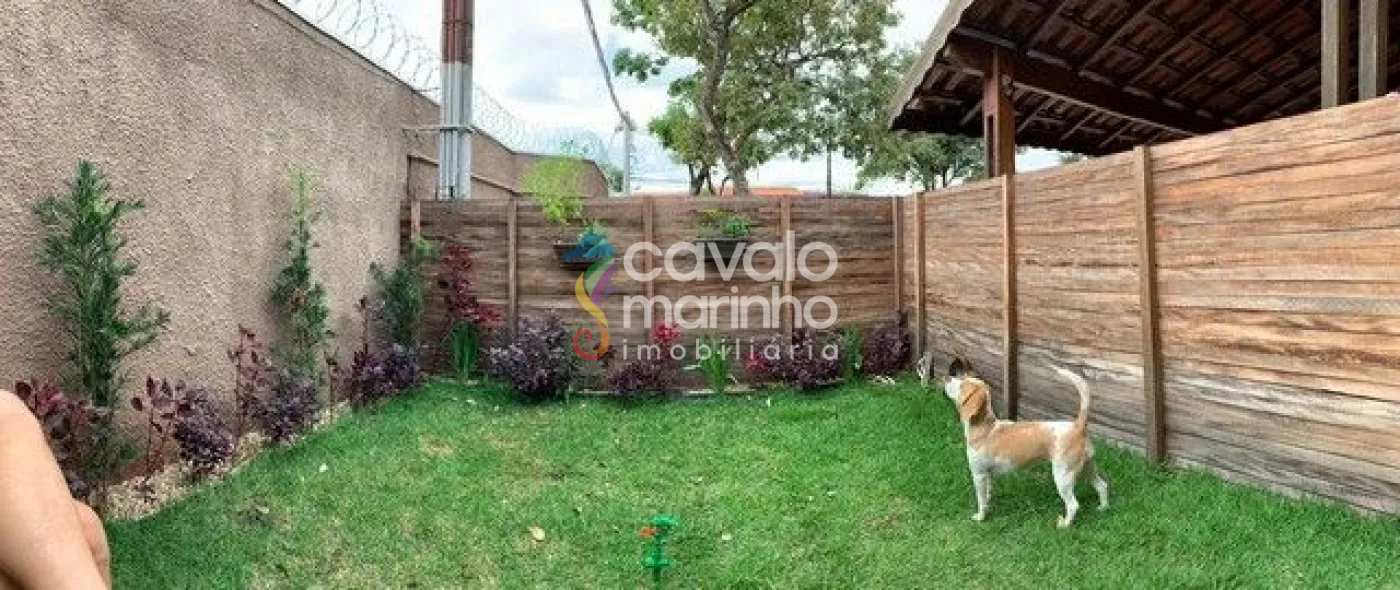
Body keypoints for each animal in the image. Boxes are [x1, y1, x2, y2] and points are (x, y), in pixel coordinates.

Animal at [919, 353, 1109, 528]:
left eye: (962, 386)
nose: (947, 377)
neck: (986, 428)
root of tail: (1078, 426)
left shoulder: (978, 474)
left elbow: (981, 500)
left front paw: (981, 517)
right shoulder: (987, 475)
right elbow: (987, 494)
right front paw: (989, 504)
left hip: (1063, 476)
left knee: (1074, 504)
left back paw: (1065, 524)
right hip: (1087, 467)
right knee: (1102, 485)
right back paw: (1103, 508)